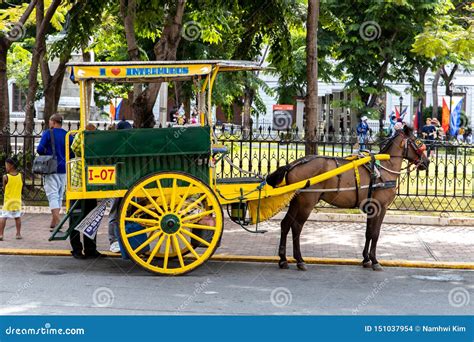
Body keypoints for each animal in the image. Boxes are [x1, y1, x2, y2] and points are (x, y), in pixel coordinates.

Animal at [266, 125, 430, 272]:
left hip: (296, 201)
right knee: (296, 227)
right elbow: (375, 233)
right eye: (418, 142)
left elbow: (368, 232)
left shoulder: (372, 208)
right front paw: (375, 261)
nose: (427, 162)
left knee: (285, 224)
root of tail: (293, 164)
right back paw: (300, 260)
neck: (384, 167)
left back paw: (283, 259)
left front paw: (366, 259)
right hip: (307, 202)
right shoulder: (381, 207)